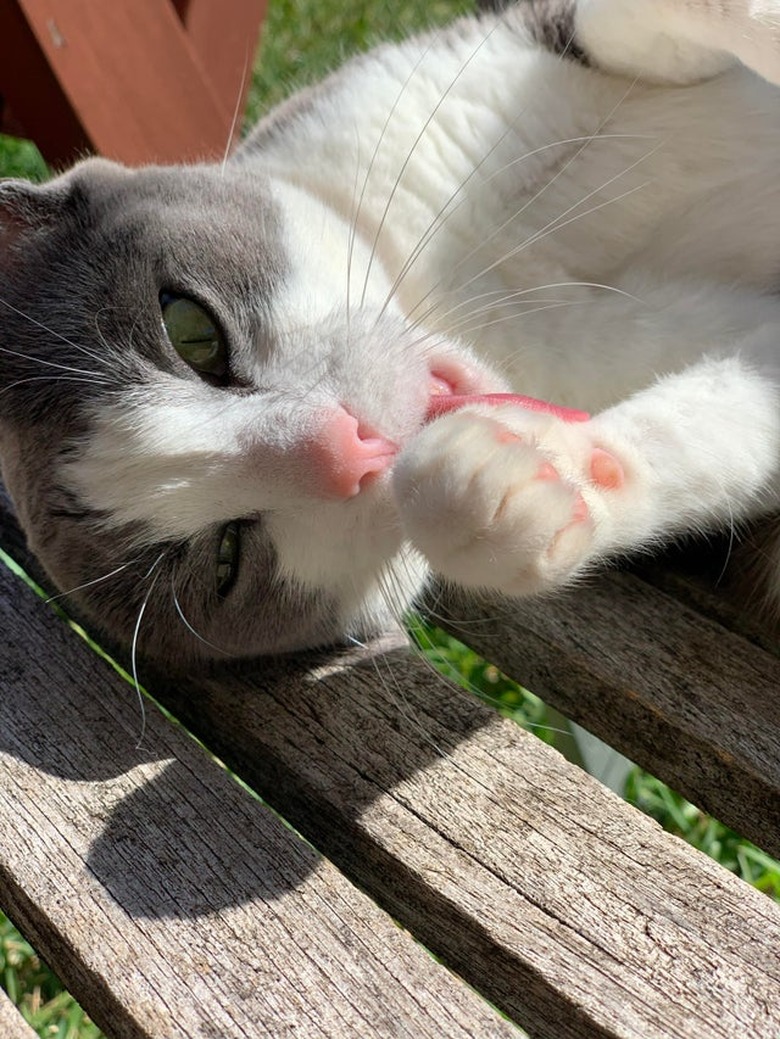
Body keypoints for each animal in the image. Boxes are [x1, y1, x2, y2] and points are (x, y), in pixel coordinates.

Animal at [0, 0, 780, 664]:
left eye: (191, 329)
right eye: (228, 557)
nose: (346, 446)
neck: (461, 286)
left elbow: (627, 24)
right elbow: (723, 426)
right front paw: (518, 484)